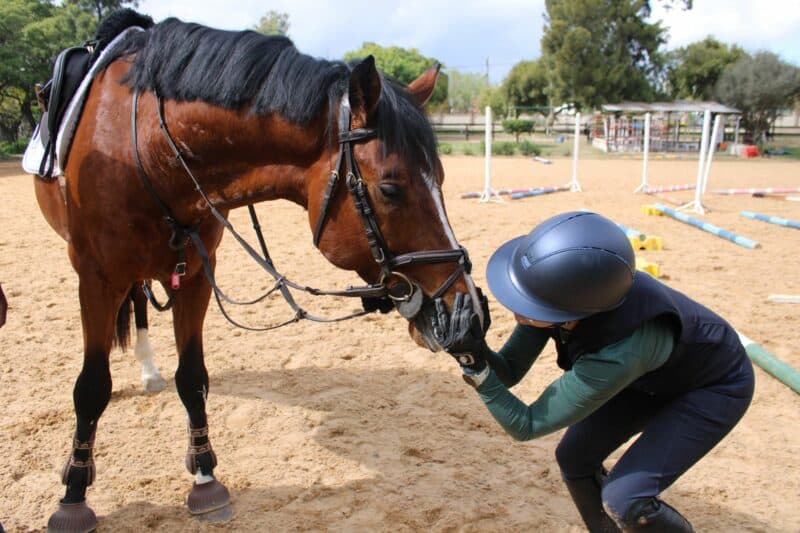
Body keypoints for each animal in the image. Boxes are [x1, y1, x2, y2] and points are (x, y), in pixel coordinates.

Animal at [37, 10, 485, 531]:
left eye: (441, 178)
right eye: (391, 188)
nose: (471, 316)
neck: (148, 147)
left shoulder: (196, 276)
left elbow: (193, 378)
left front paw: (205, 477)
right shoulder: (96, 278)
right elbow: (91, 389)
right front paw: (73, 494)